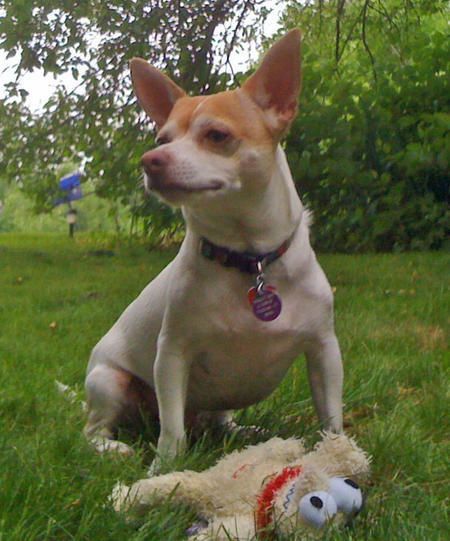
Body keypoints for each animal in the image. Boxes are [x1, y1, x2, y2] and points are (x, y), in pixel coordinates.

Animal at [84, 30, 342, 464]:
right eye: (162, 139)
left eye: (217, 136)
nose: (150, 159)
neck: (249, 258)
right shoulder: (172, 356)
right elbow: (172, 430)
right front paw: (165, 467)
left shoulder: (324, 350)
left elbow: (331, 416)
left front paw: (338, 453)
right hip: (109, 382)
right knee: (94, 430)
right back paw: (114, 447)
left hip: (216, 402)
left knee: (219, 422)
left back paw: (247, 431)